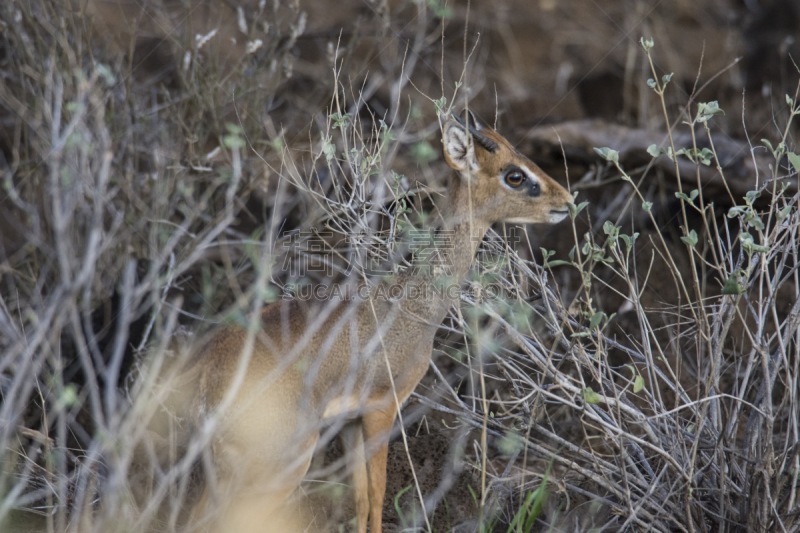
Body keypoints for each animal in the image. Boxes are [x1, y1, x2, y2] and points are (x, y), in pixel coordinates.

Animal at [147, 110, 572, 528]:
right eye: (514, 174)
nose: (567, 200)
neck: (410, 305)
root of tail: (207, 375)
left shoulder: (350, 421)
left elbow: (362, 498)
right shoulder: (382, 408)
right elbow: (379, 493)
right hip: (278, 467)